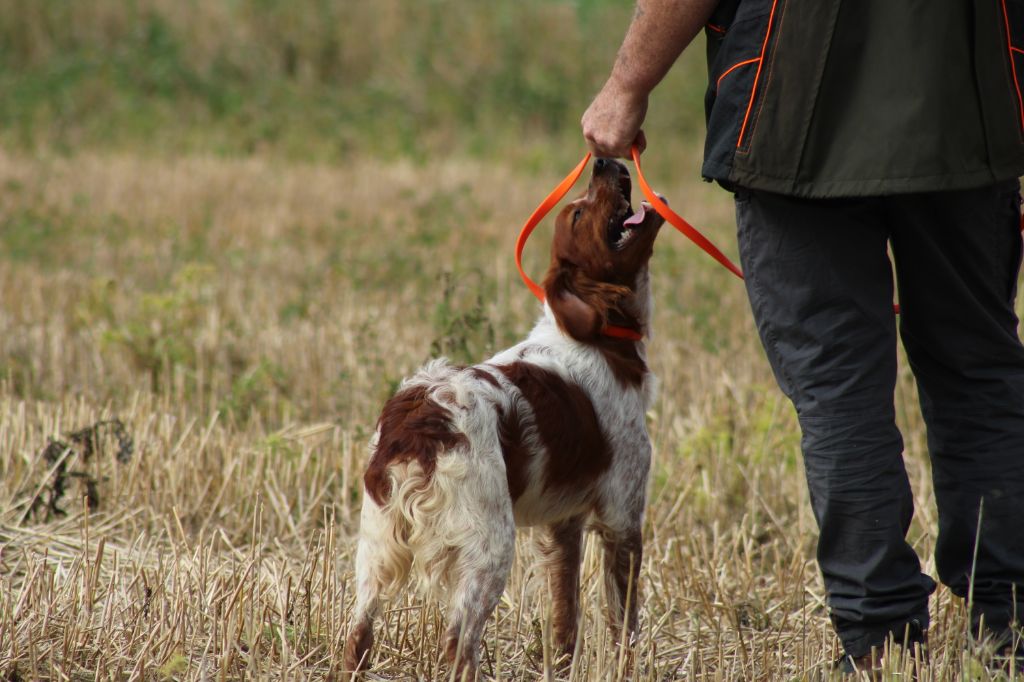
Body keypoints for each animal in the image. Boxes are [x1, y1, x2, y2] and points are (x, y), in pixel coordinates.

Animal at [344, 157, 663, 675]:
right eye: (579, 213)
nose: (604, 160)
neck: (600, 338)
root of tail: (417, 422)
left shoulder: (564, 525)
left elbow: (565, 617)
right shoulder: (622, 517)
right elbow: (624, 626)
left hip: (376, 547)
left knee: (357, 634)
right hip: (488, 547)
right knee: (458, 642)